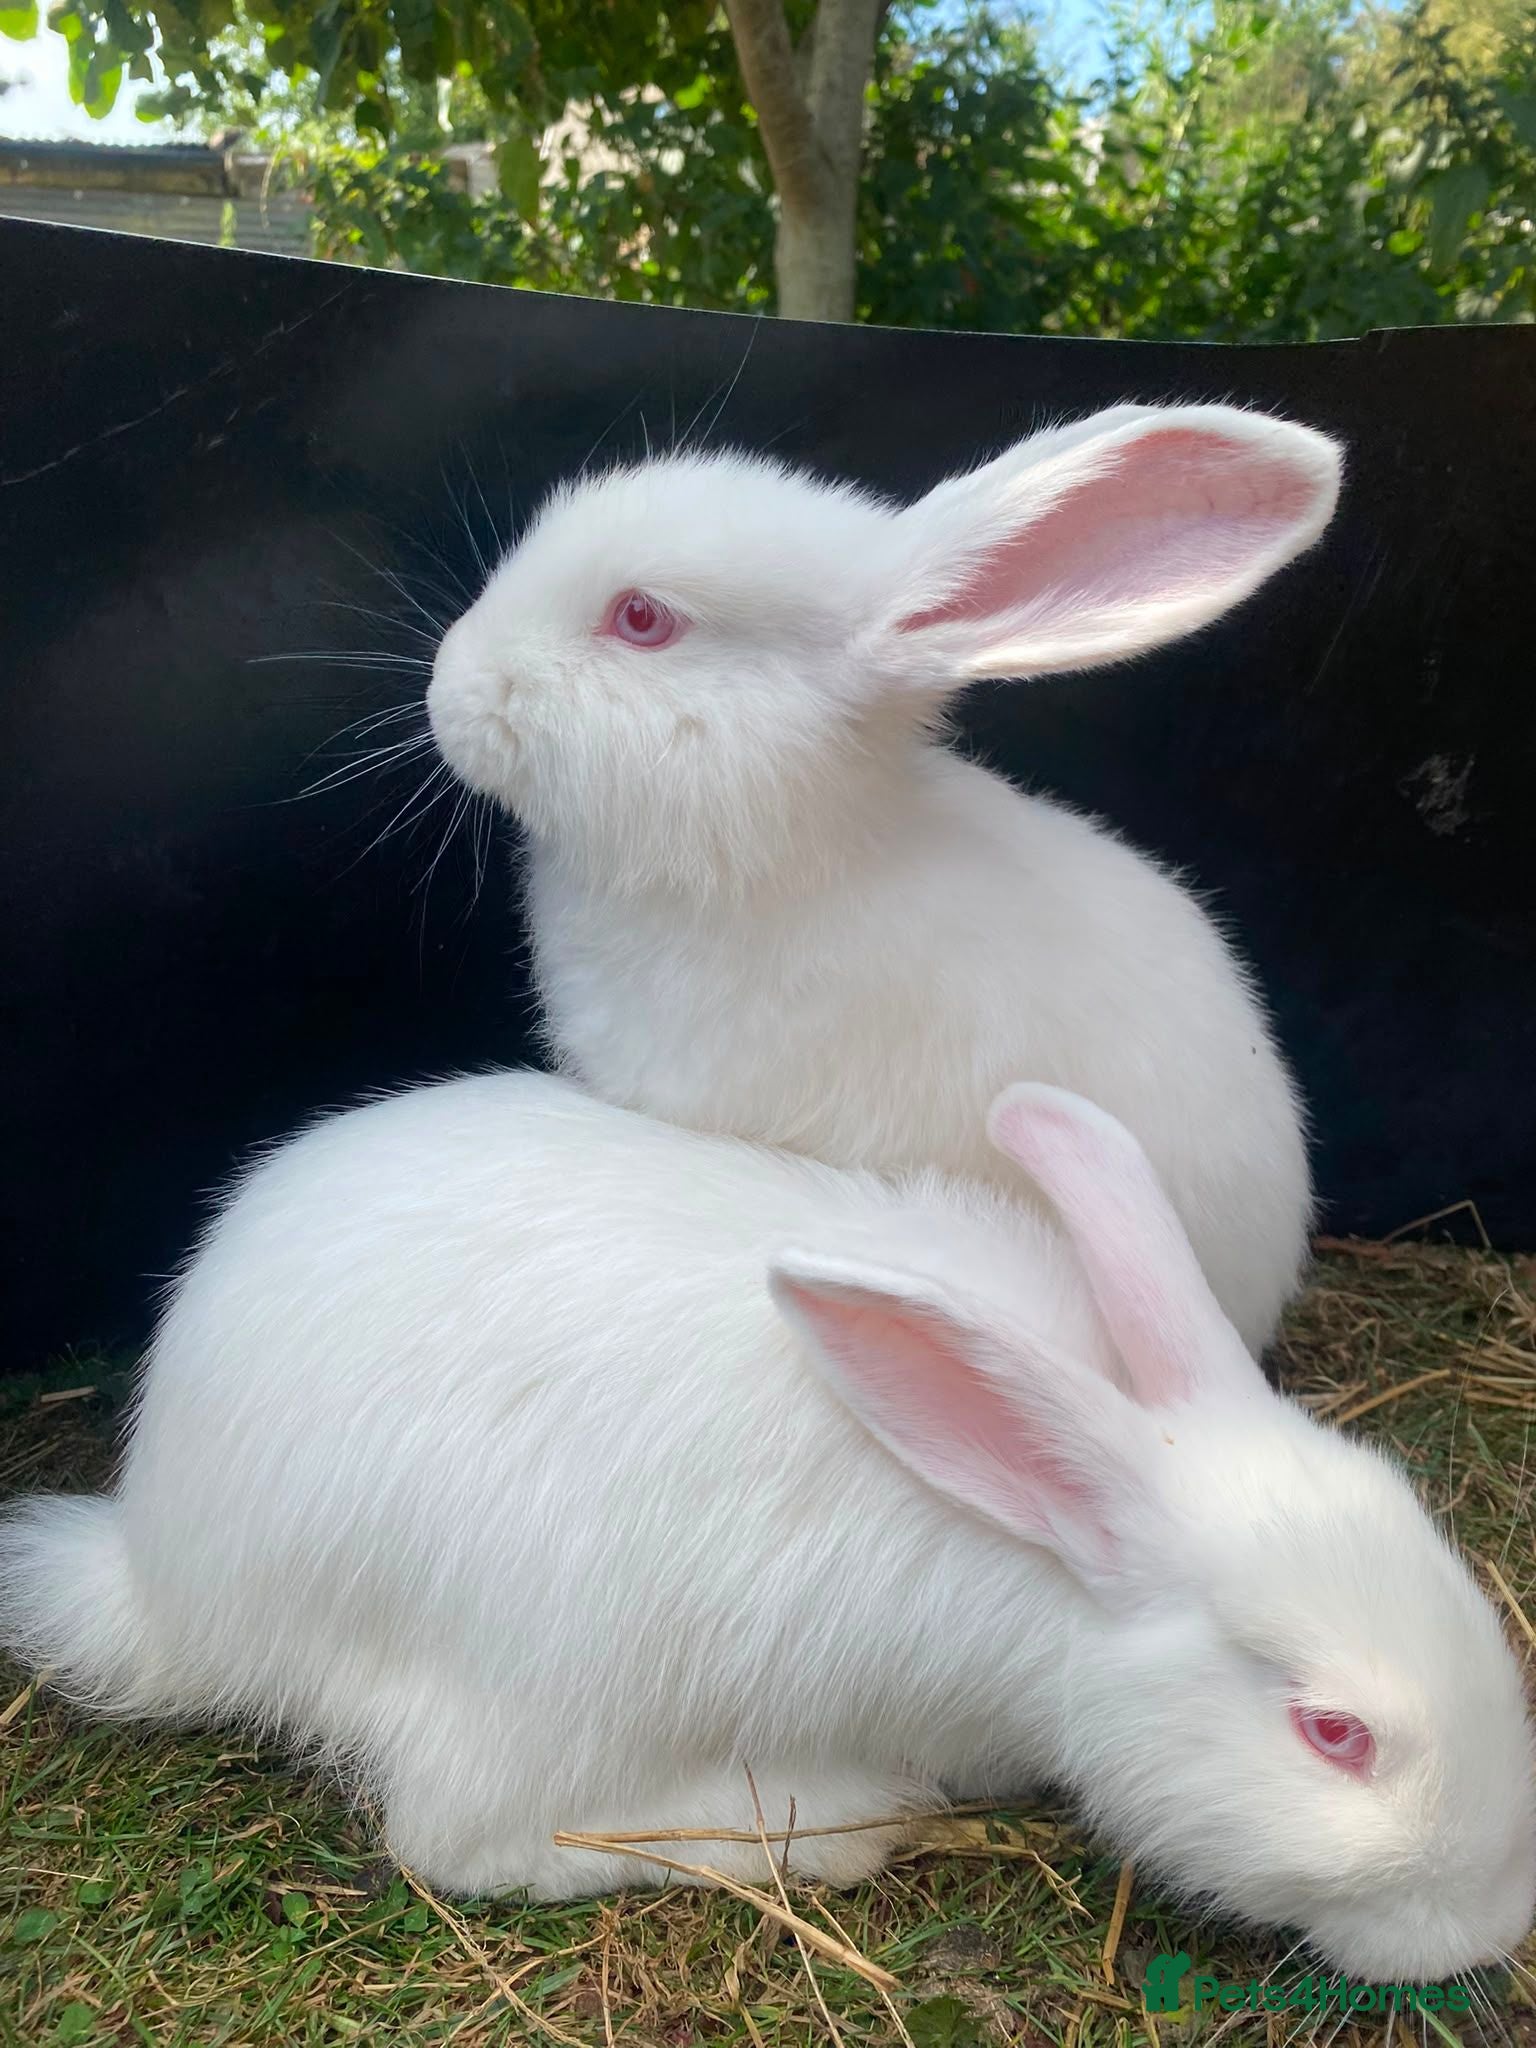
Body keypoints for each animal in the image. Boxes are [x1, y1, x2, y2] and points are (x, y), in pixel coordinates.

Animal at [2, 1072, 1530, 1983]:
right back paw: (831, 1826)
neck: (1044, 1555)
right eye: (1335, 1734)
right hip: (547, 1658)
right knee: (467, 1836)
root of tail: (164, 1568)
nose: (1496, 1920)